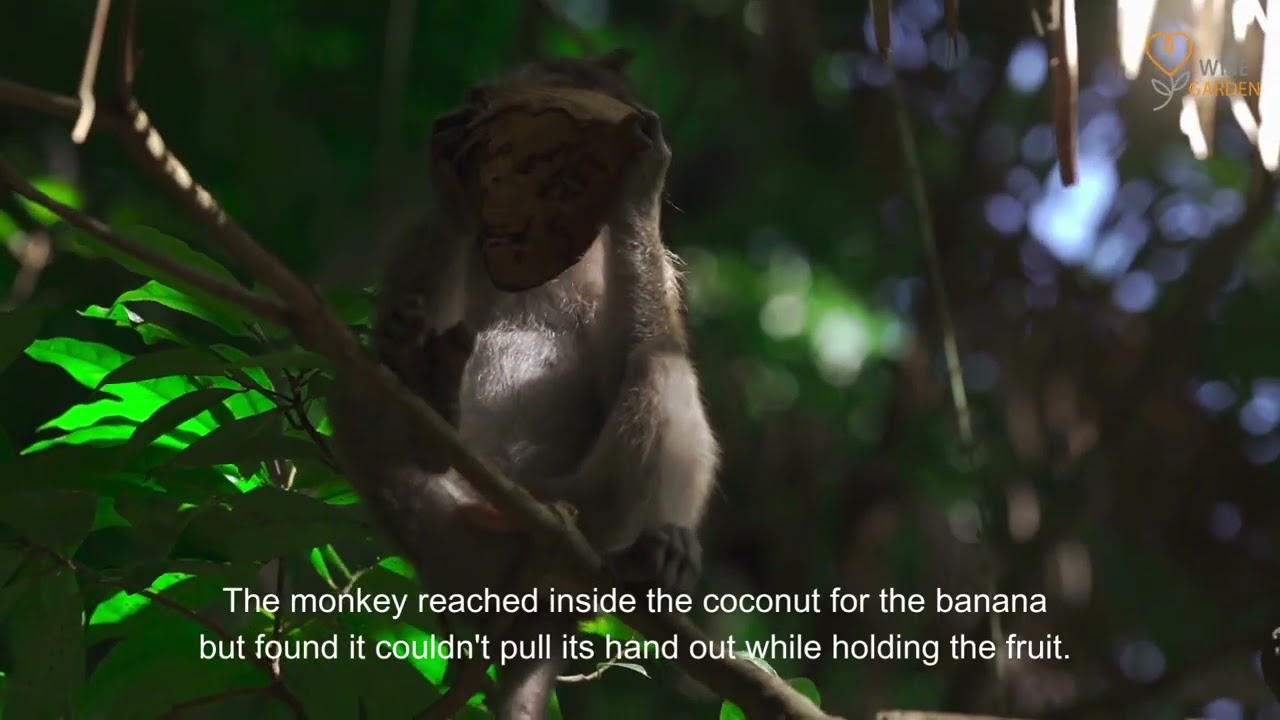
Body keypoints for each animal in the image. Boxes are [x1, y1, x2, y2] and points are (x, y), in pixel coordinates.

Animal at [325, 50, 719, 719]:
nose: (474, 99)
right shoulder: (413, 236)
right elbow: (388, 331)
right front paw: (455, 192)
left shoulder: (644, 267)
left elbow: (638, 353)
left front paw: (643, 185)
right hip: (466, 535)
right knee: (354, 387)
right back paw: (430, 400)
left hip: (584, 503)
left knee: (660, 369)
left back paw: (649, 555)